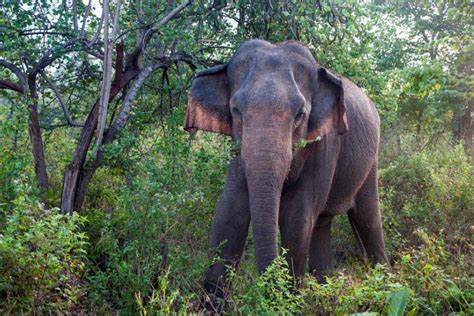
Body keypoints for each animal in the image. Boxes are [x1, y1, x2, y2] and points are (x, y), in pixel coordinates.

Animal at [183, 39, 390, 296]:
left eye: (300, 114)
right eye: (236, 110)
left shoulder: (325, 144)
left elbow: (296, 219)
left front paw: (288, 298)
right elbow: (229, 212)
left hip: (371, 161)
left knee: (367, 219)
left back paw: (388, 284)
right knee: (321, 224)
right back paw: (325, 287)